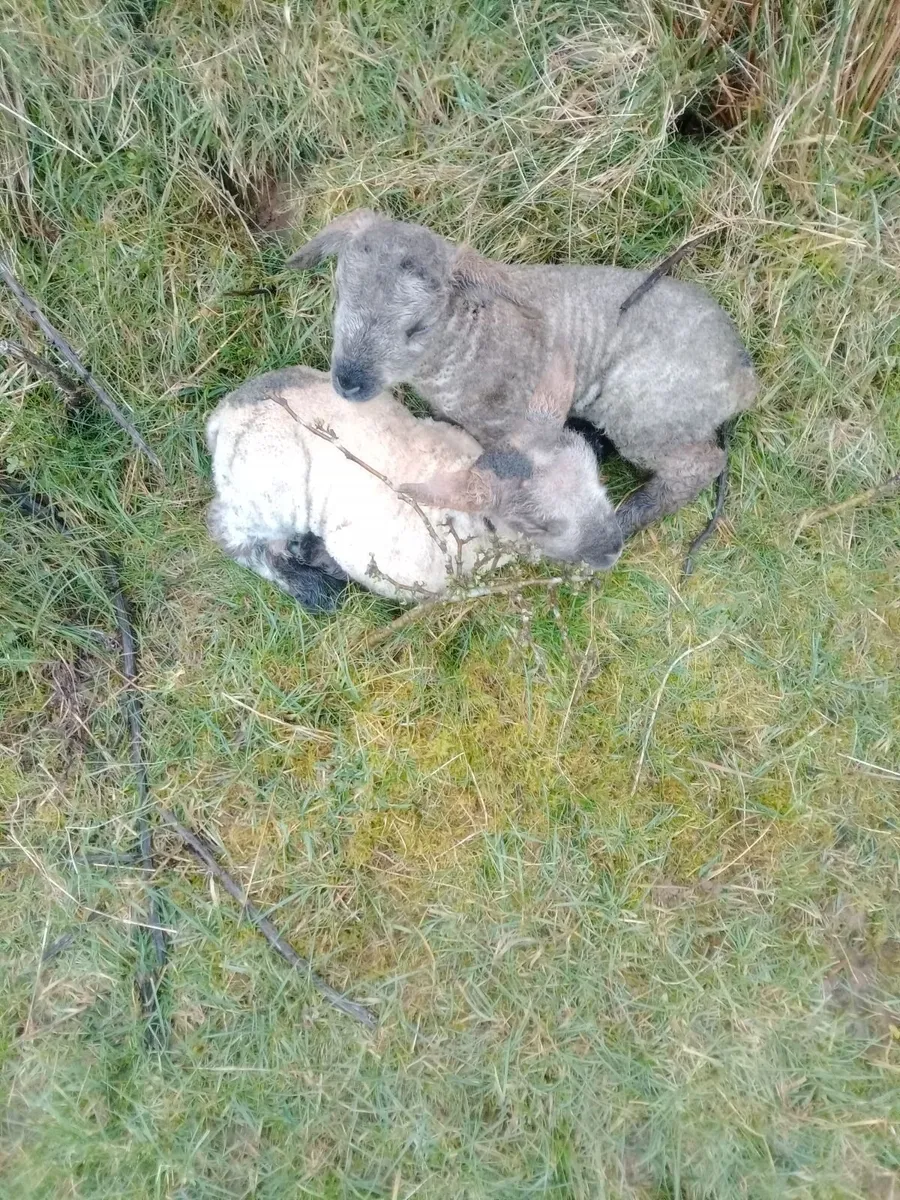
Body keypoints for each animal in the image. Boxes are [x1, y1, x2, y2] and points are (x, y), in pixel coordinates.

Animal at [205, 360, 622, 612]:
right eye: (539, 525)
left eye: (592, 475)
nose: (614, 548)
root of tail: (223, 414)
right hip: (269, 493)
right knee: (230, 532)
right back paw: (313, 587)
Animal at [286, 209, 758, 541]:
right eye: (340, 297)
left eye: (417, 327)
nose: (348, 381)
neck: (468, 338)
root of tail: (742, 373)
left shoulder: (511, 422)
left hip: (645, 413)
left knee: (701, 463)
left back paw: (631, 514)